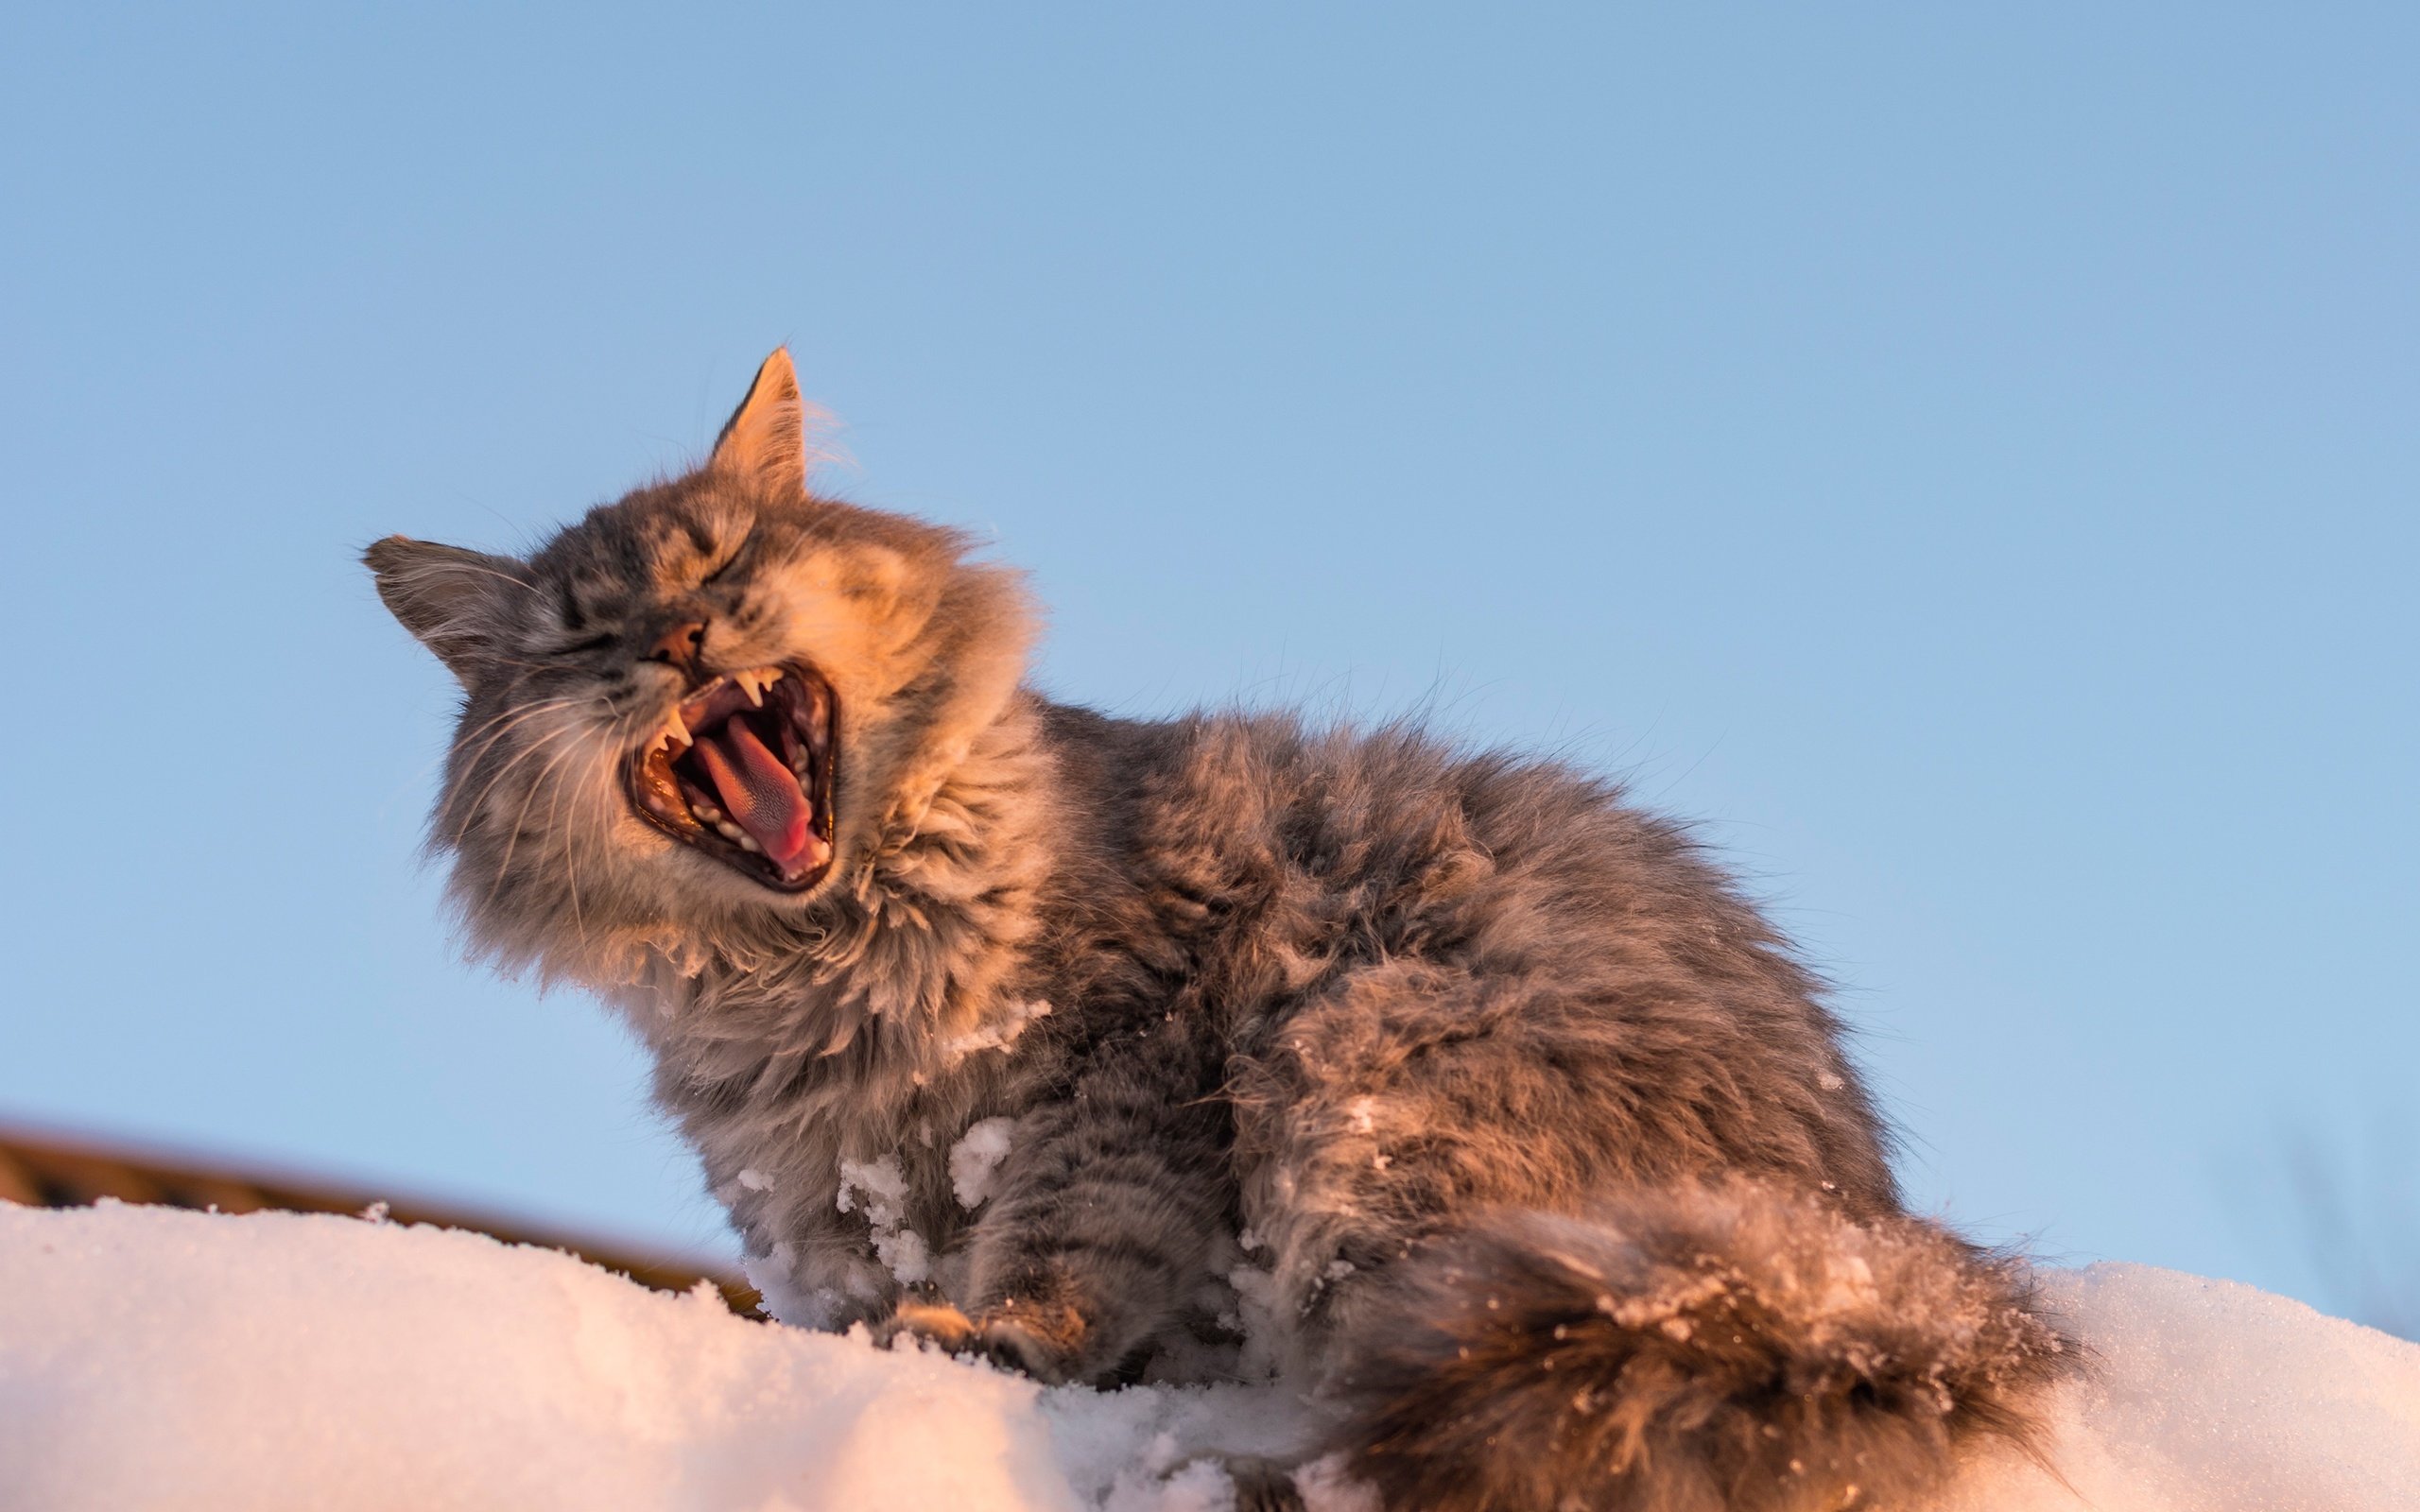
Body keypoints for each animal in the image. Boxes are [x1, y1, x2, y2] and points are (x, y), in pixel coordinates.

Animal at [368, 351, 2071, 1509]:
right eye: (578, 642)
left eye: (720, 562)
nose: (675, 640)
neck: (825, 962)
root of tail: (1866, 1246)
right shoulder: (811, 1214)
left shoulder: (1129, 1049)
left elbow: (1071, 1251)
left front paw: (1003, 1336)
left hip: (1376, 1070)